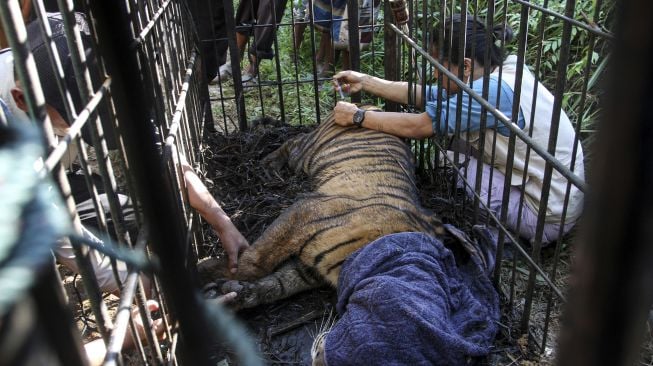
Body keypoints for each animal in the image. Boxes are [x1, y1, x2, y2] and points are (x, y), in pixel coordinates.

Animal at [201, 106, 448, 312]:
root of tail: (373, 107)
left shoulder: (309, 269)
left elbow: (276, 283)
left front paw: (233, 293)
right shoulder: (305, 211)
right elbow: (256, 261)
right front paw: (212, 269)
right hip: (305, 154)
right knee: (294, 141)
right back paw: (270, 164)